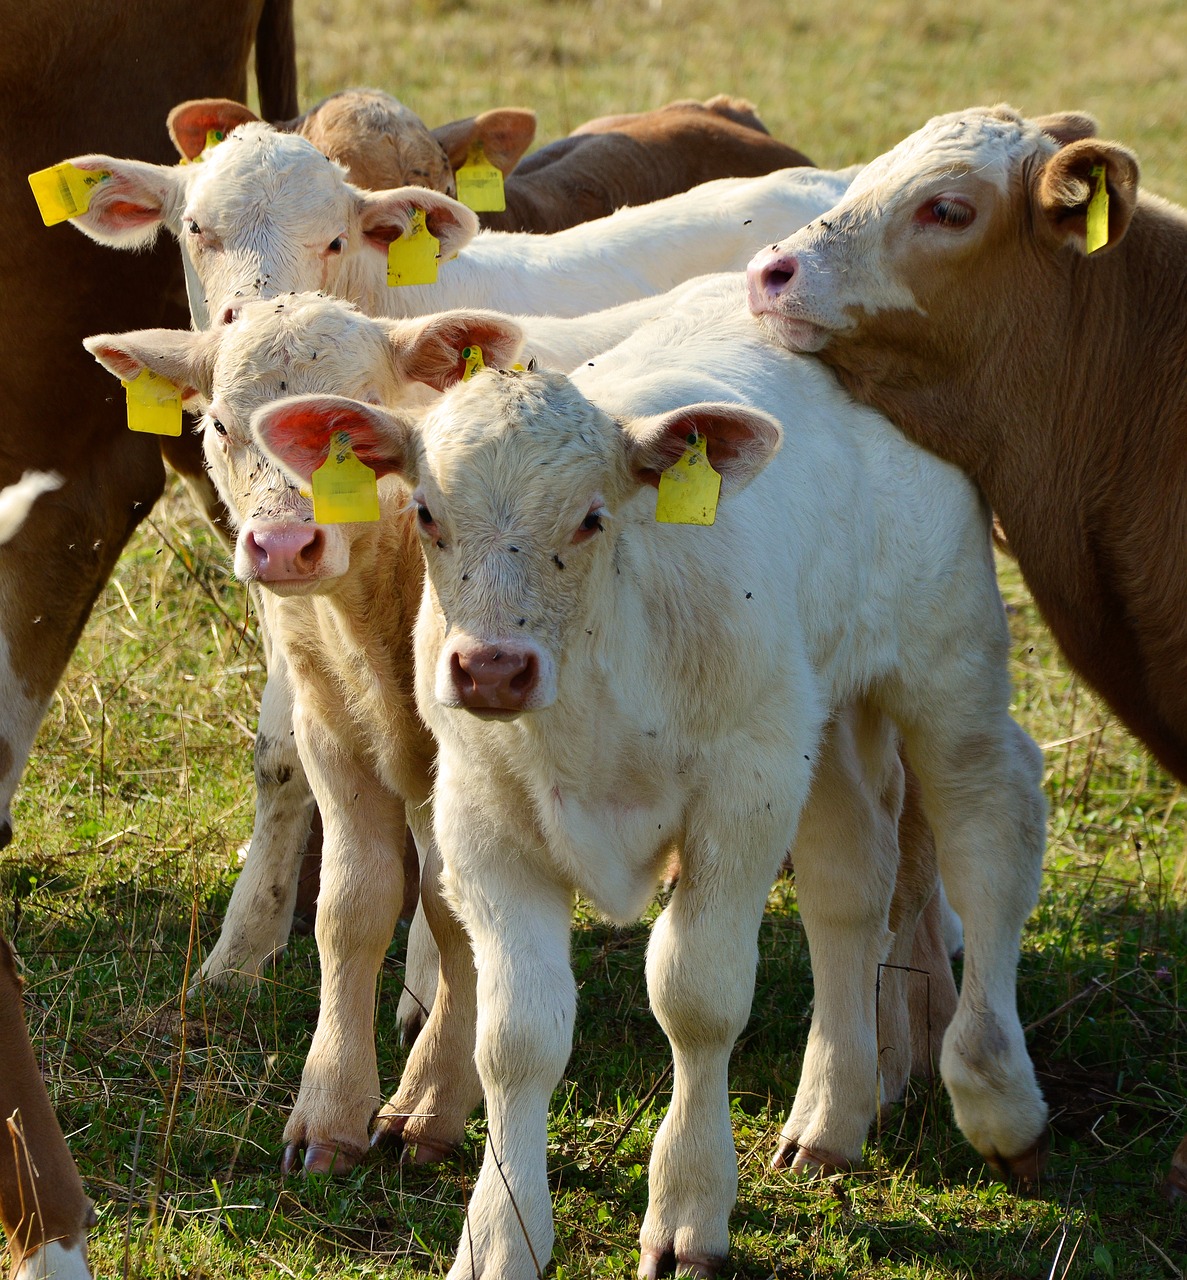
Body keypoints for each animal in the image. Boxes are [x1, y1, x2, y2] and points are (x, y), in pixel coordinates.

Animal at [257, 280, 1049, 1280]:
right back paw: (830, 1117)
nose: (491, 670)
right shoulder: (487, 825)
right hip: (814, 713)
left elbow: (696, 999)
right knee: (849, 883)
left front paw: (686, 1212)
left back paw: (998, 1099)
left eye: (593, 517)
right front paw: (500, 1235)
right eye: (427, 514)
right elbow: (516, 1038)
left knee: (990, 833)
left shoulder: (742, 795)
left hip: (945, 661)